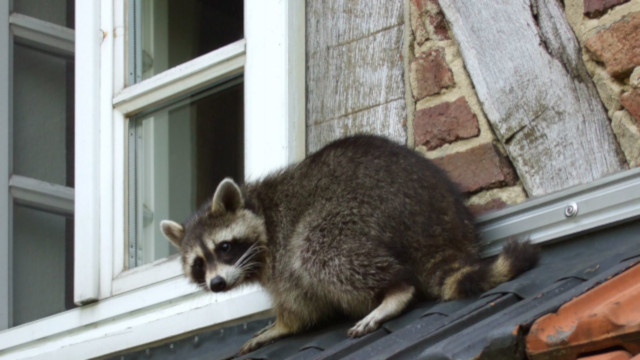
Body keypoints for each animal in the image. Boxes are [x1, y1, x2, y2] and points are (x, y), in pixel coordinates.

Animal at [159, 134, 536, 354]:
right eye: (199, 264)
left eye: (224, 248)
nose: (217, 284)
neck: (258, 207)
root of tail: (440, 226)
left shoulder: (279, 251)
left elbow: (299, 304)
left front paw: (282, 325)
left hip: (362, 209)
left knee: (317, 251)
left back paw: (395, 289)